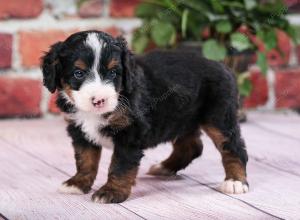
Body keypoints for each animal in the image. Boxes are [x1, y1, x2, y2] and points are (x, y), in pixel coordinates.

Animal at [41, 30, 250, 204]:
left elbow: (120, 166)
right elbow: (85, 159)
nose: (99, 100)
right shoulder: (79, 130)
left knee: (233, 147)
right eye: (78, 73)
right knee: (192, 146)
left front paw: (112, 192)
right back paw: (165, 167)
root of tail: (222, 65)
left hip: (219, 117)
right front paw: (77, 183)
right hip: (179, 117)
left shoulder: (129, 133)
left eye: (113, 72)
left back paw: (235, 181)